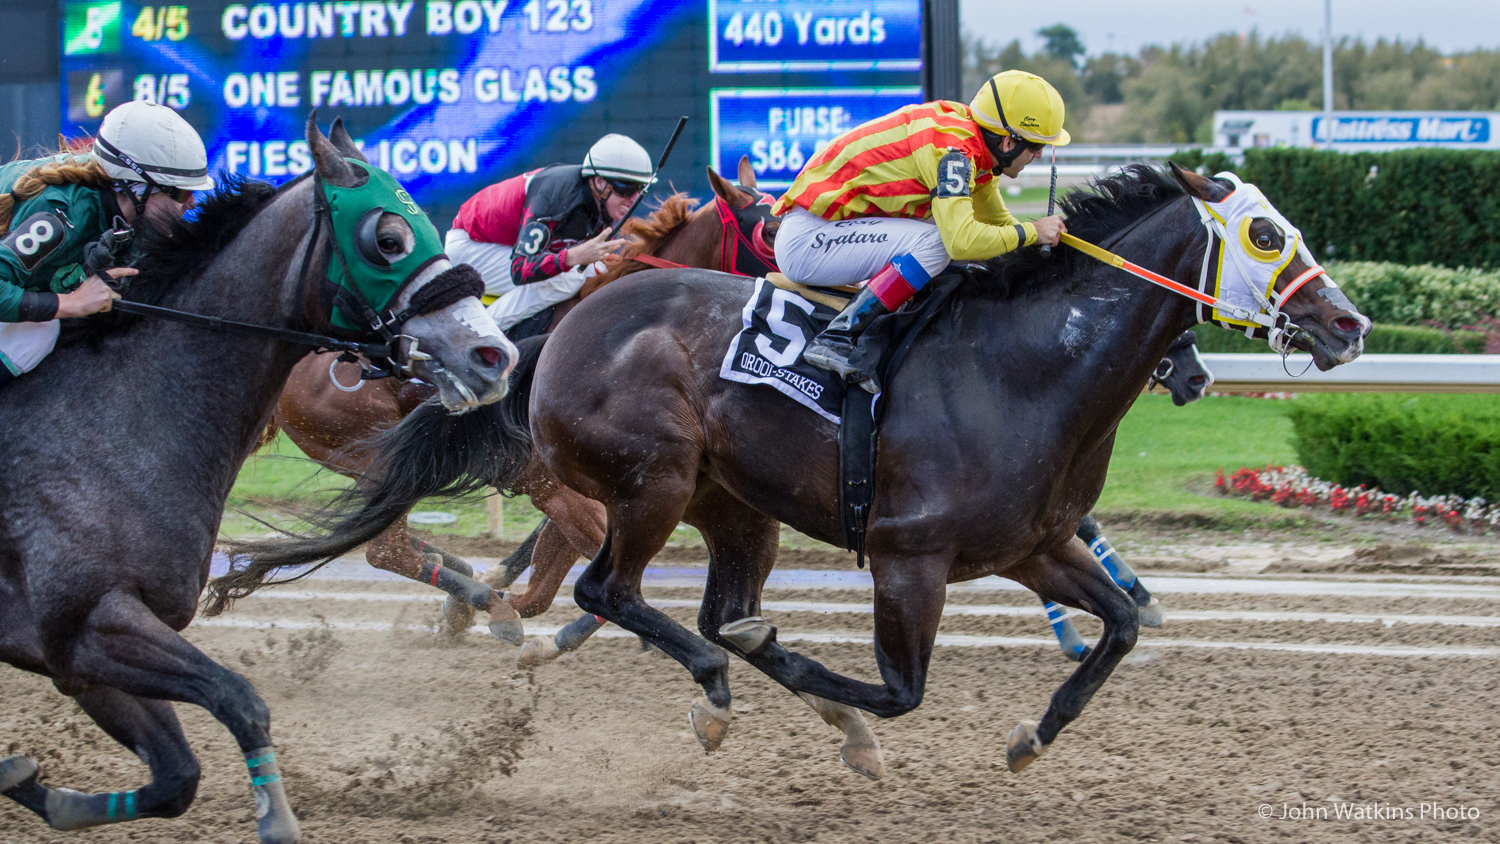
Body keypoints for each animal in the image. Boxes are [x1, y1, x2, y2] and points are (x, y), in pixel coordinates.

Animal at [0, 115, 515, 844]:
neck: (118, 413)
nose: (495, 354)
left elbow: (177, 776)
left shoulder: (73, 652)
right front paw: (278, 819)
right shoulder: (89, 620)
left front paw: (34, 785)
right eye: (387, 239)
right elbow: (238, 698)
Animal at [209, 158, 781, 643]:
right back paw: (480, 598)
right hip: (366, 451)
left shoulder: (585, 489)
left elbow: (547, 580)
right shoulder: (561, 491)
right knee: (384, 549)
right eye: (770, 230)